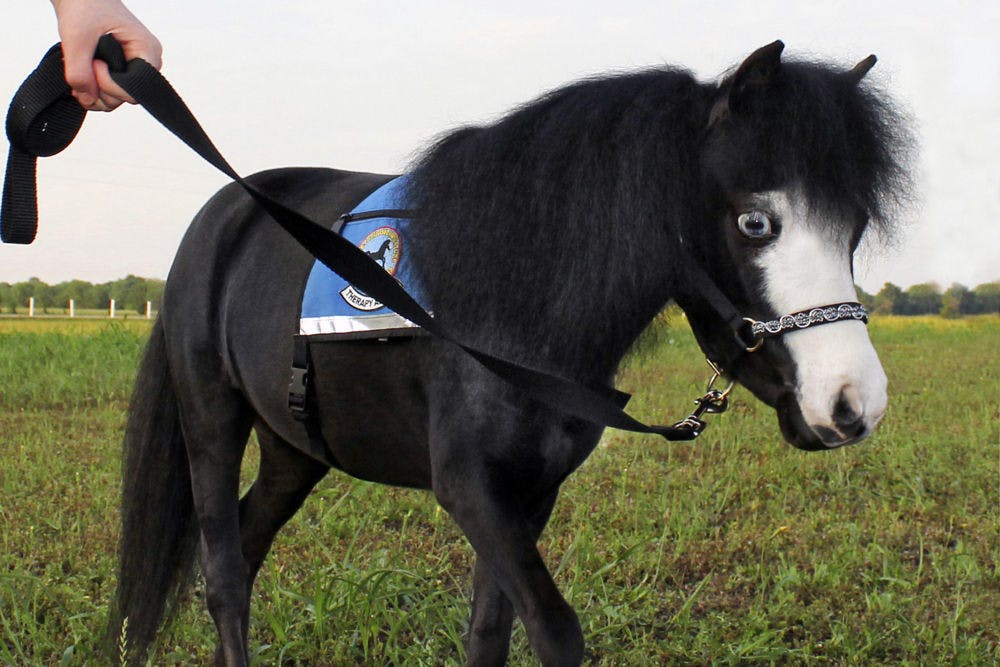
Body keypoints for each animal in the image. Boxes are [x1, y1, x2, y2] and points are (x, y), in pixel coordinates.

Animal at [108, 41, 911, 665]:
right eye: (755, 222)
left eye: (854, 226)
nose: (853, 404)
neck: (522, 307)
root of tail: (226, 211)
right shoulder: (469, 485)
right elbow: (554, 631)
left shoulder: (531, 491)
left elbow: (491, 631)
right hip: (211, 423)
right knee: (223, 576)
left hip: (294, 449)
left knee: (245, 548)